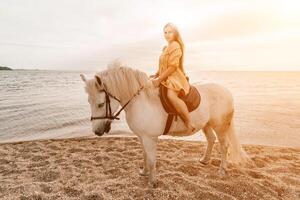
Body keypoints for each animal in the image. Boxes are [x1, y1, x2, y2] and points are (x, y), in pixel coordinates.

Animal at [79, 62, 248, 188]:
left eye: (100, 104)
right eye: (89, 102)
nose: (97, 131)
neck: (141, 101)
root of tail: (227, 91)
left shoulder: (150, 138)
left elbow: (152, 159)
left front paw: (152, 182)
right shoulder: (142, 137)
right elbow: (144, 155)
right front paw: (144, 172)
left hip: (220, 126)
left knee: (224, 146)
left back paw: (222, 170)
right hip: (206, 124)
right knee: (211, 139)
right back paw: (205, 160)